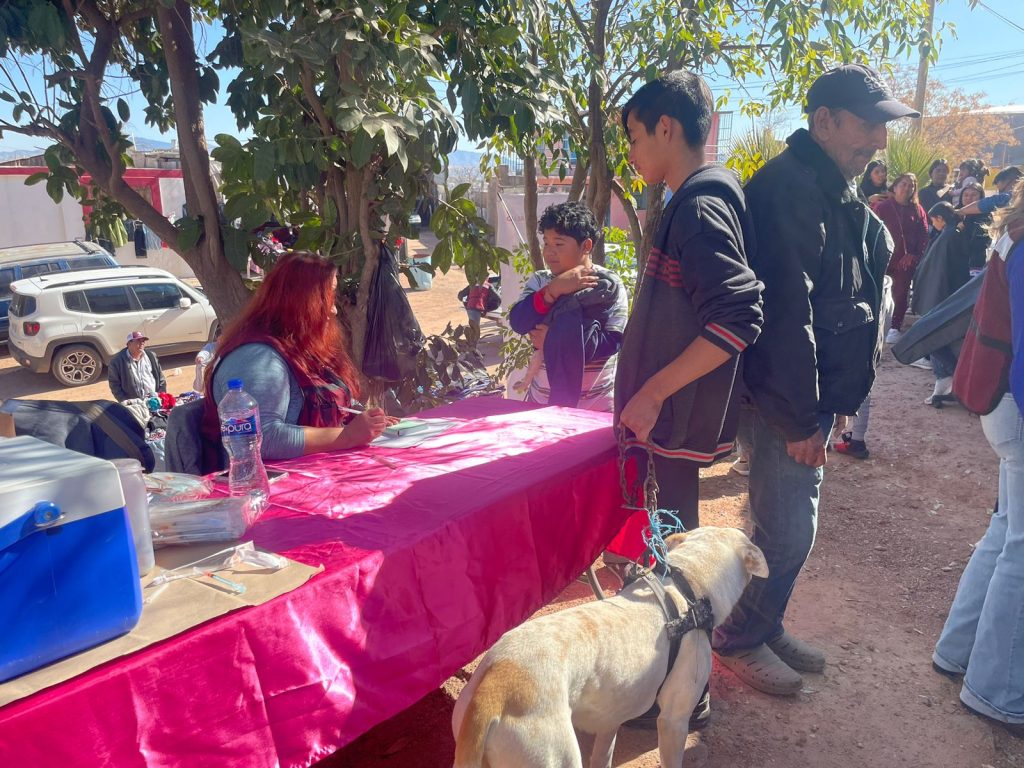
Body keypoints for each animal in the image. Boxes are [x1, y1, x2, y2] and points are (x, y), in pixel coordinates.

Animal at [452, 528, 765, 768]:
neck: (687, 586)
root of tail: (495, 686)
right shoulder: (673, 721)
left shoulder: (610, 719)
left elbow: (603, 754)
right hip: (555, 757)